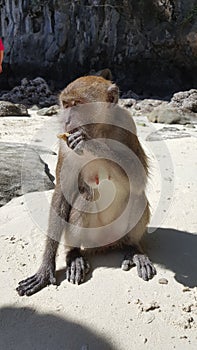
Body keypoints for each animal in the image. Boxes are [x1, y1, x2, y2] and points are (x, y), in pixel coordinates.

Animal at [16, 74, 155, 296]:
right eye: (66, 104)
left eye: (78, 105)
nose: (66, 120)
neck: (100, 129)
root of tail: (107, 244)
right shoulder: (65, 144)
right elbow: (62, 192)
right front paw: (46, 268)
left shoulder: (128, 124)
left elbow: (139, 178)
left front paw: (89, 143)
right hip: (92, 238)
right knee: (85, 196)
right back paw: (74, 255)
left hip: (119, 234)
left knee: (137, 196)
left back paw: (133, 248)